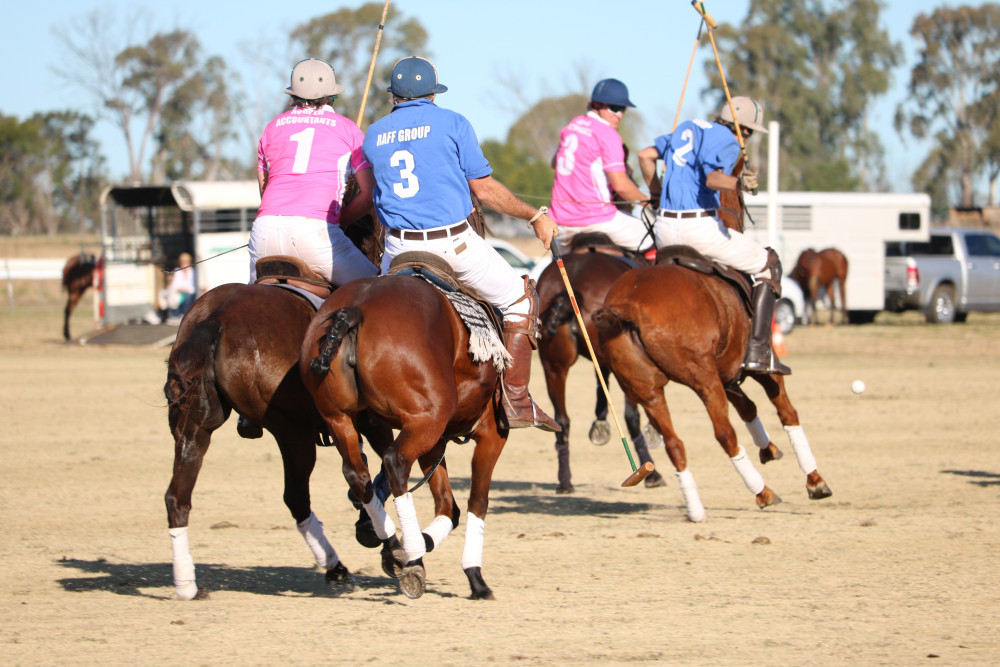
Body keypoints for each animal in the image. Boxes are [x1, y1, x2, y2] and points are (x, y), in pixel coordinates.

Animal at [300, 268, 508, 604]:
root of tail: (354, 310)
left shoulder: (435, 441)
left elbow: (449, 507)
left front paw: (420, 543)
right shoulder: (490, 434)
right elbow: (477, 501)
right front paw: (475, 577)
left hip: (340, 418)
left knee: (358, 474)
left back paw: (397, 548)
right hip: (426, 420)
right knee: (395, 463)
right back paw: (412, 562)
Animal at [536, 241, 668, 496]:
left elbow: (600, 384)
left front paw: (599, 423)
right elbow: (630, 413)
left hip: (553, 365)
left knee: (562, 420)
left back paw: (565, 482)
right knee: (630, 416)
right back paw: (650, 473)